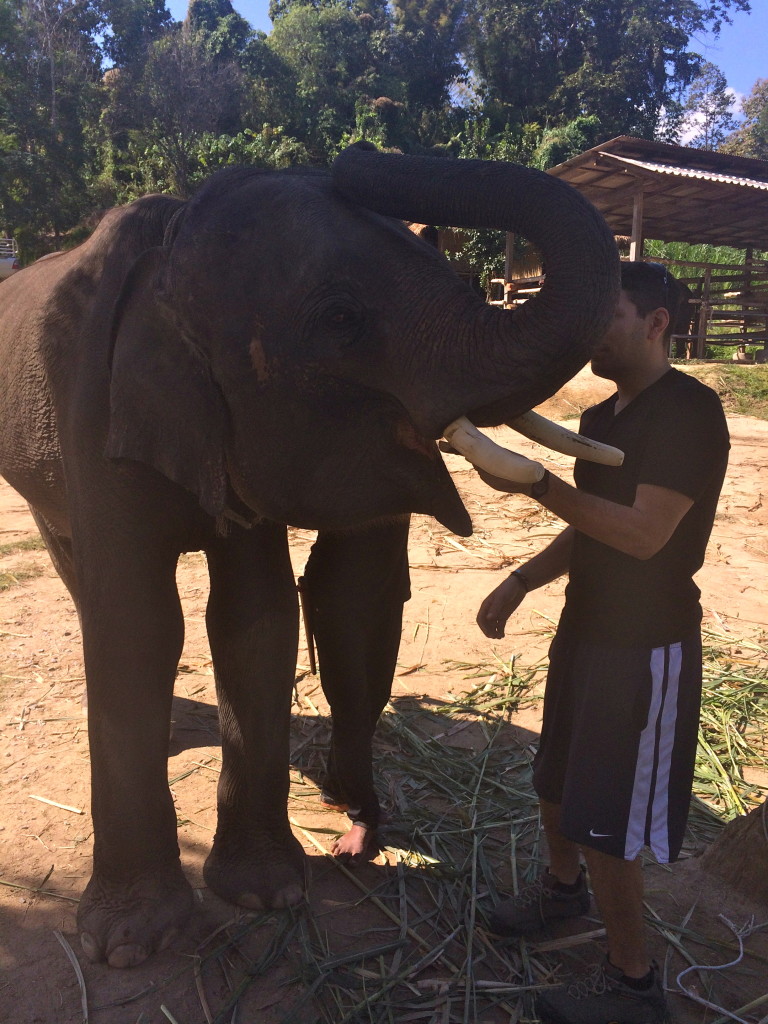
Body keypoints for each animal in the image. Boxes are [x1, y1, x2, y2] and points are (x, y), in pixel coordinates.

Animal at [0, 144, 618, 966]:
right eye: (341, 319)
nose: (357, 154)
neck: (170, 253)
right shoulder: (94, 415)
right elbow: (139, 624)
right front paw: (130, 946)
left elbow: (254, 616)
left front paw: (269, 895)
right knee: (77, 569)